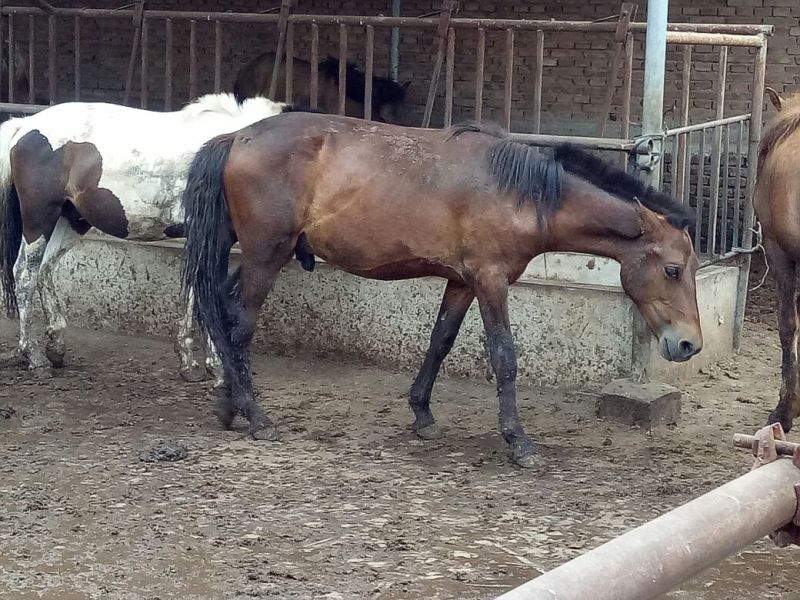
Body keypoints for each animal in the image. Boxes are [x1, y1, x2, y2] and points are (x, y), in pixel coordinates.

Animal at [0, 92, 313, 383]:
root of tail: (24, 126)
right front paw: (214, 367)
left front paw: (192, 363)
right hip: (40, 217)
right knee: (25, 275)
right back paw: (35, 357)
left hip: (72, 219)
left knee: (44, 269)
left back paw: (55, 346)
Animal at [180, 112, 703, 468]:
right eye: (673, 270)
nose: (688, 344)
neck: (521, 193)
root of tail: (236, 137)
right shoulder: (491, 281)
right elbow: (504, 357)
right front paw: (518, 442)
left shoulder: (461, 282)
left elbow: (440, 342)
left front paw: (422, 414)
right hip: (266, 258)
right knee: (240, 327)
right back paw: (255, 416)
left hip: (255, 257)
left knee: (222, 315)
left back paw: (228, 404)